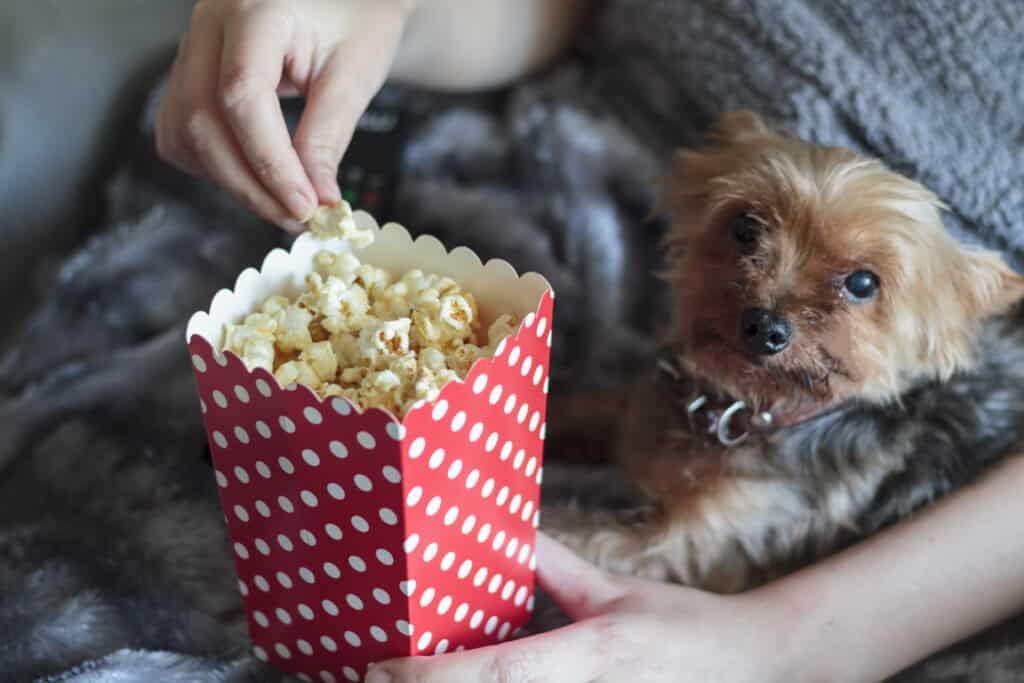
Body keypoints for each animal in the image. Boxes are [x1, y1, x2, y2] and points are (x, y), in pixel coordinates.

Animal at [548, 109, 1024, 593]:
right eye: (745, 227)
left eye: (863, 283)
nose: (765, 327)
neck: (739, 412)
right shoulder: (633, 409)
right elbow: (584, 407)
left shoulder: (697, 542)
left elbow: (577, 534)